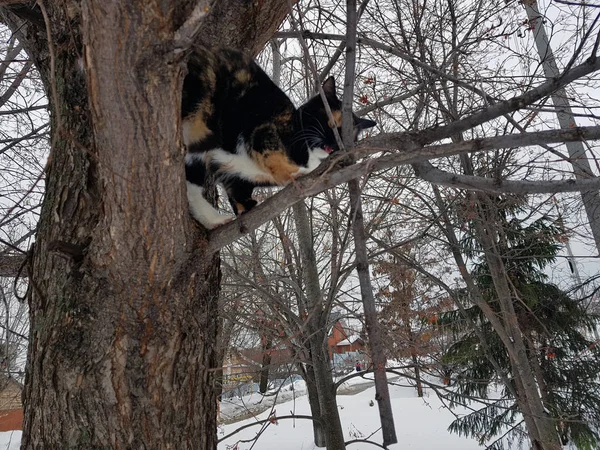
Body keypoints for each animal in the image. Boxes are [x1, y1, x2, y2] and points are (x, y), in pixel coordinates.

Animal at [182, 47, 376, 229]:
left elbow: (235, 190)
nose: (334, 143)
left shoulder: (238, 176)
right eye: (332, 123)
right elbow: (273, 155)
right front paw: (293, 174)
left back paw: (213, 219)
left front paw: (242, 207)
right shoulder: (266, 129)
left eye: (347, 135)